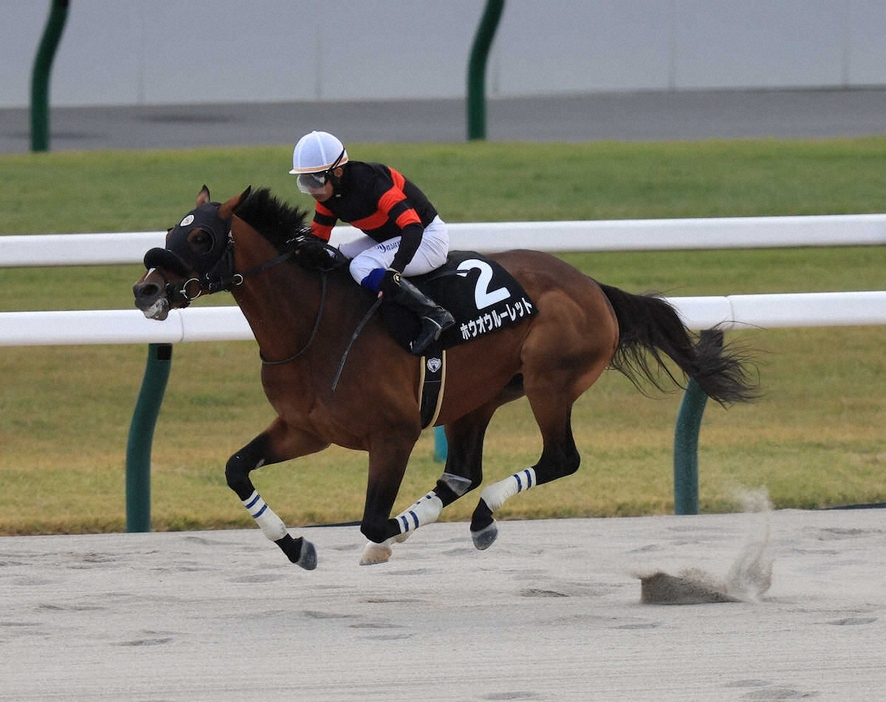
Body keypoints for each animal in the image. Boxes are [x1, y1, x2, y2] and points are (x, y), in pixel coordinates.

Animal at [134, 188, 756, 572]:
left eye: (201, 239)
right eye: (171, 229)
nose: (146, 289)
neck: (312, 324)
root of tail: (592, 286)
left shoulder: (393, 434)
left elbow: (374, 521)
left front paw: (384, 541)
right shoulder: (305, 429)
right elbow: (236, 469)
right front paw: (297, 546)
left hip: (549, 382)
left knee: (558, 458)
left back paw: (482, 516)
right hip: (475, 398)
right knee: (462, 471)